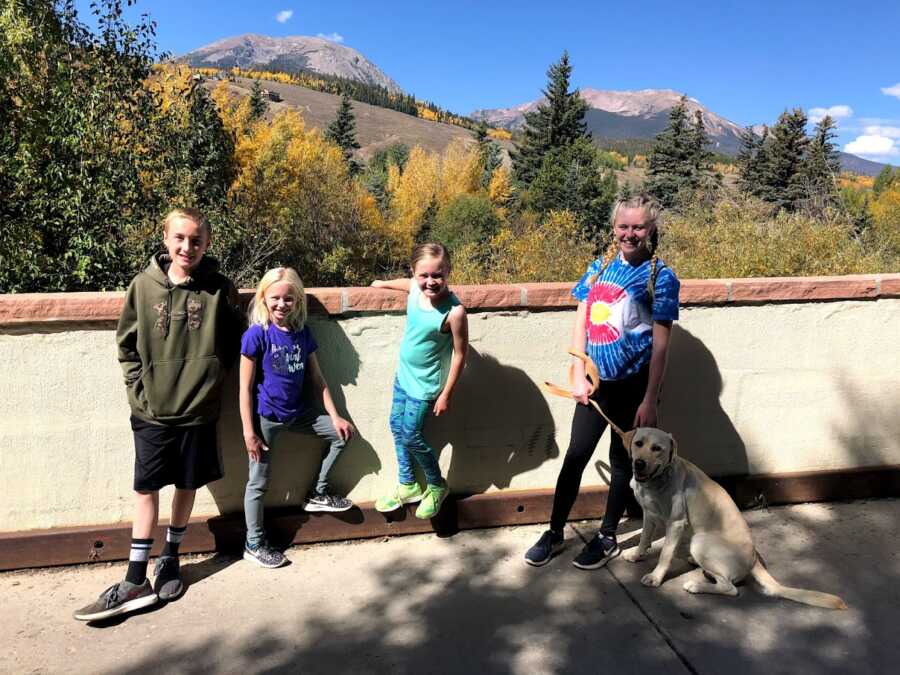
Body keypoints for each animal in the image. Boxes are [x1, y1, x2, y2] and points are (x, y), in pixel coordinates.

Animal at [544, 352, 848, 608]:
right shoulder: (649, 515)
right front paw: (638, 555)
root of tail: (754, 558)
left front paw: (655, 577)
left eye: (658, 449)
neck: (656, 480)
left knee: (730, 588)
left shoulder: (676, 523)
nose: (639, 463)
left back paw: (696, 585)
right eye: (639, 443)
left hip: (700, 539)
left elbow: (665, 554)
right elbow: (644, 539)